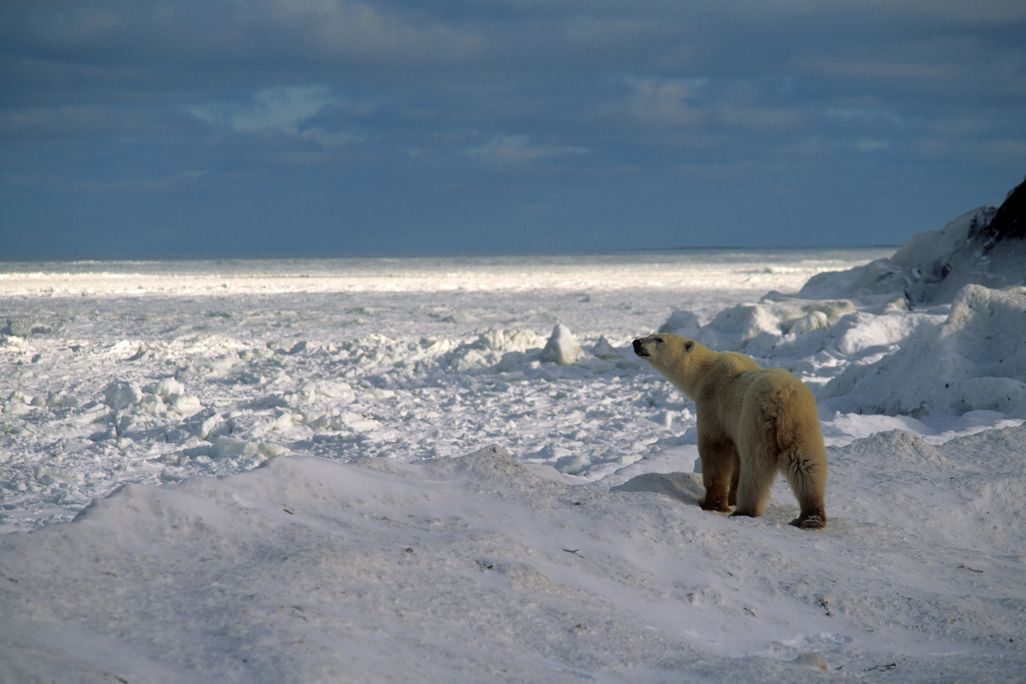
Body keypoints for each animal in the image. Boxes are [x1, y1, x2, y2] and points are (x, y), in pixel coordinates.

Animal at [633, 333, 827, 529]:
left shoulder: (712, 404)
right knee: (806, 465)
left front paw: (710, 503)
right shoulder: (734, 424)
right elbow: (736, 457)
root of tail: (784, 401)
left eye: (658, 339)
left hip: (757, 421)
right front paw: (731, 498)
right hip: (804, 425)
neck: (704, 372)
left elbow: (715, 450)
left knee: (756, 466)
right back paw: (810, 517)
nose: (636, 342)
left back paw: (745, 510)